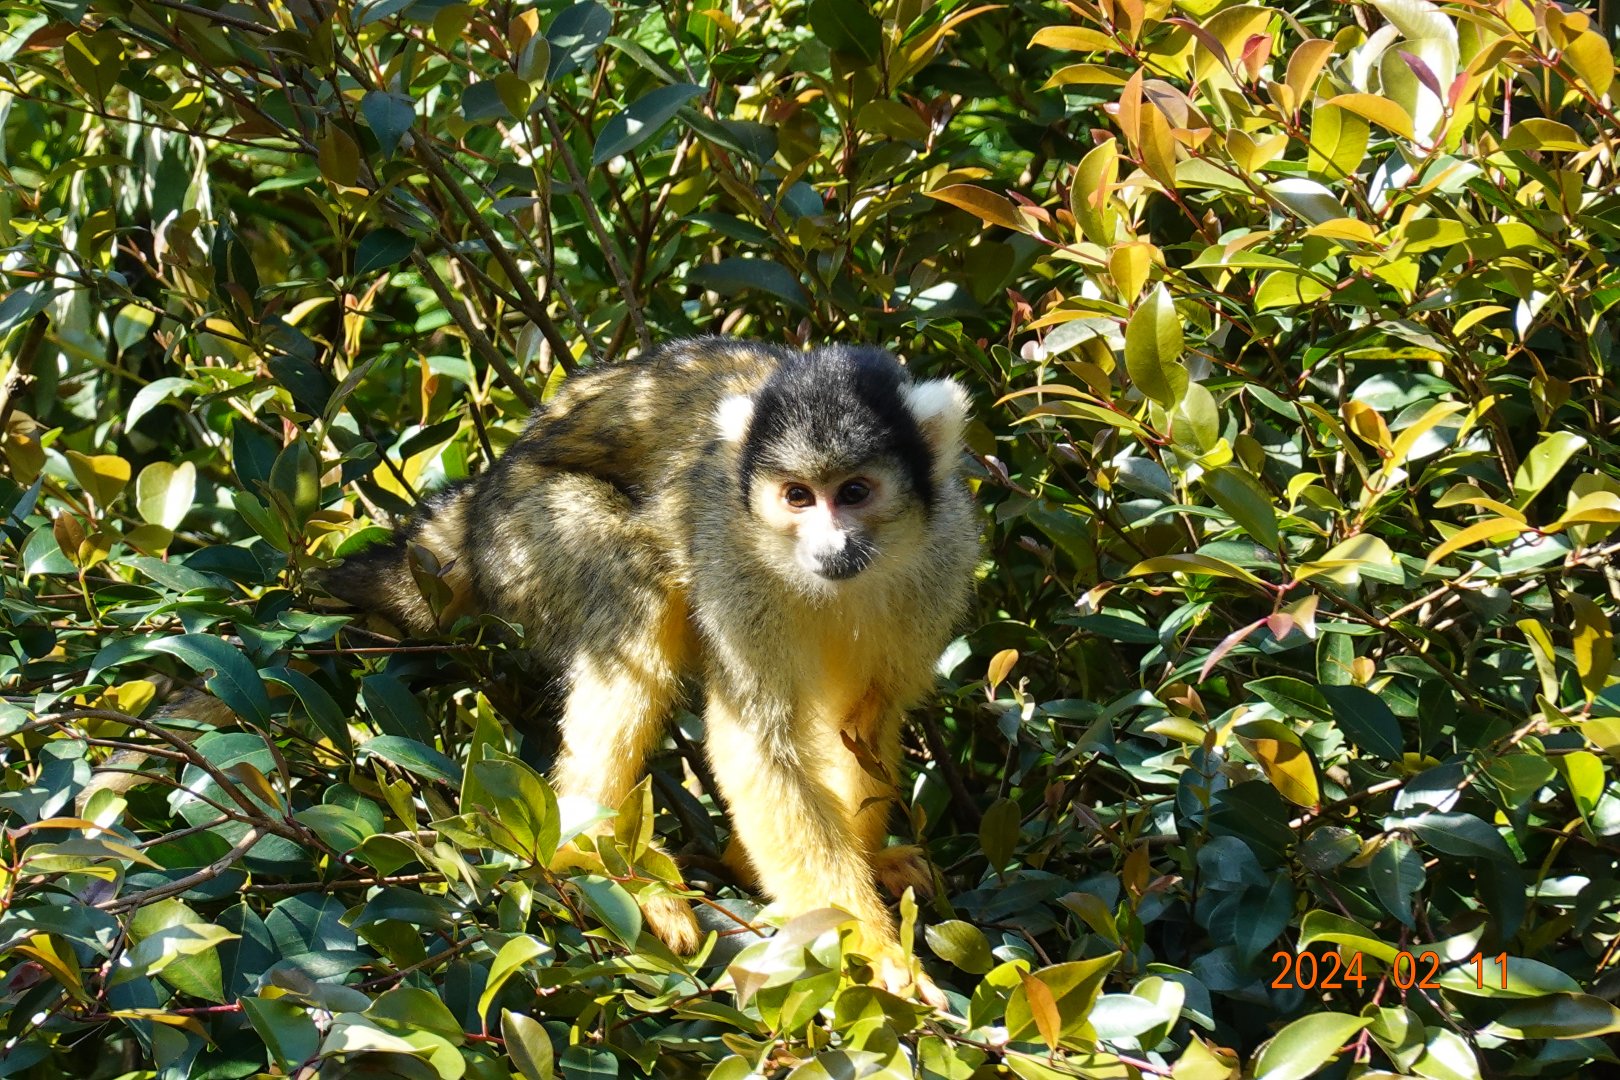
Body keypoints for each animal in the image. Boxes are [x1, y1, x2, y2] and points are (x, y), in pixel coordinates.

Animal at [319, 337, 979, 996]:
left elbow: (866, 716)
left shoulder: (945, 552)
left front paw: (868, 872)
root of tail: (482, 495)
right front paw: (877, 953)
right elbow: (755, 744)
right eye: (798, 496)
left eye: (855, 493)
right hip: (526, 532)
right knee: (638, 590)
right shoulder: (733, 554)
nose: (830, 546)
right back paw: (591, 854)